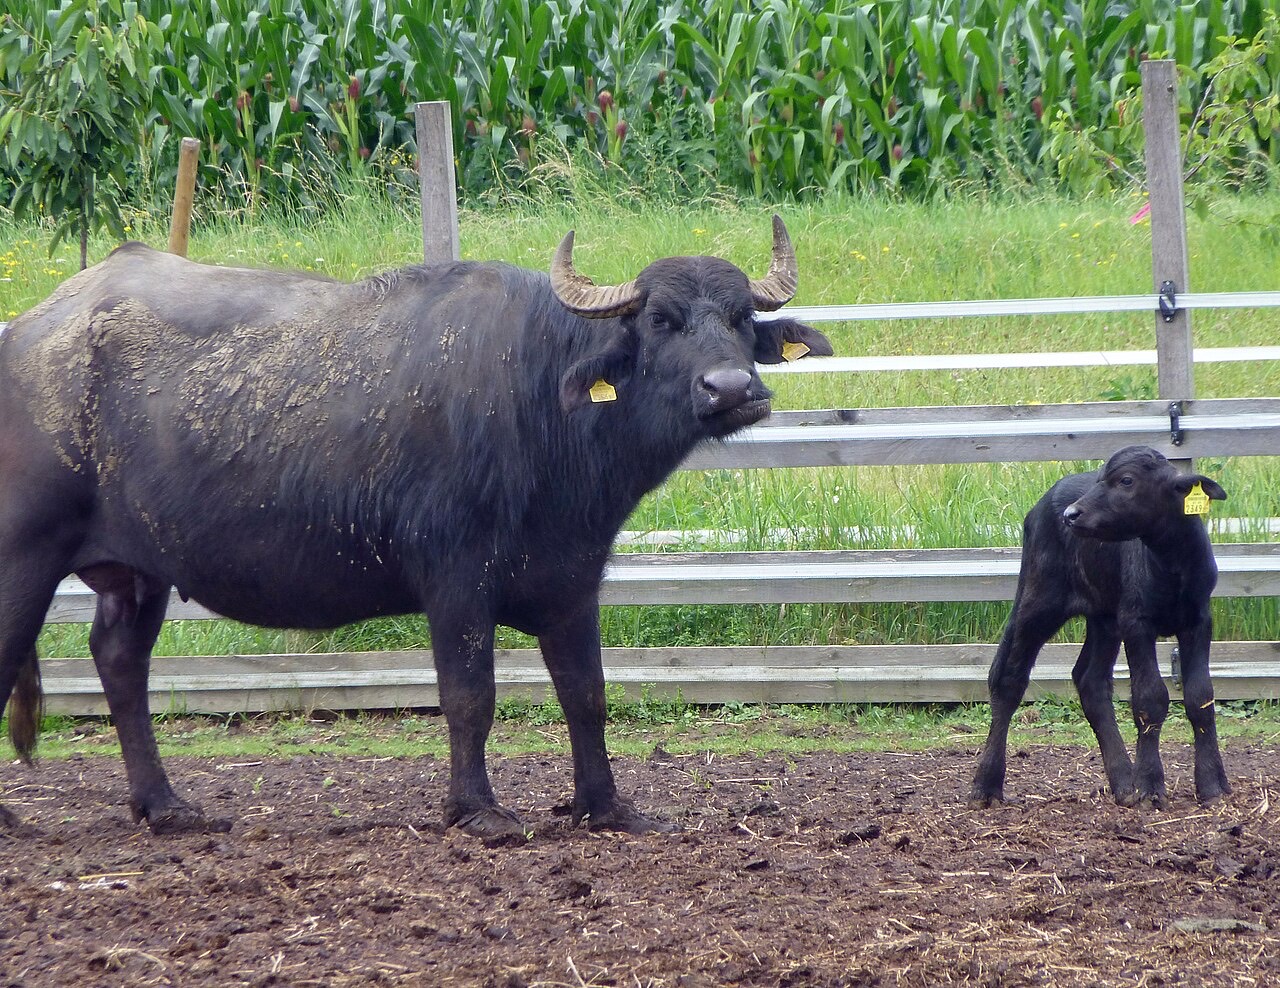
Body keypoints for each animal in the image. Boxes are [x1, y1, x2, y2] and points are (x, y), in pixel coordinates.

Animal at [0, 217, 831, 837]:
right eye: (660, 321)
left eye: (741, 318)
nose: (732, 388)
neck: (535, 399)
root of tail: (28, 333)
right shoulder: (455, 578)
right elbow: (469, 695)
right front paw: (479, 811)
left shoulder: (572, 578)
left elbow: (586, 694)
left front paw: (607, 807)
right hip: (27, 556)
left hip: (139, 572)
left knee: (120, 663)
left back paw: (166, 806)